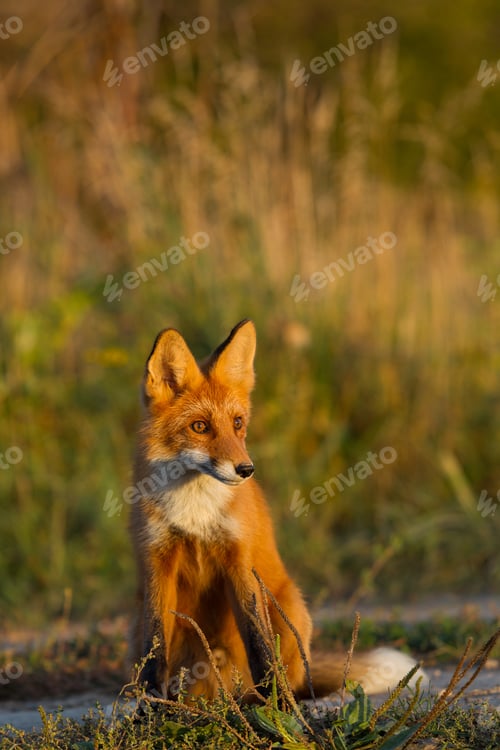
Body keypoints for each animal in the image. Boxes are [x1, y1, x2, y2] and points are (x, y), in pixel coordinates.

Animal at [129, 319, 426, 701]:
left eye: (237, 423)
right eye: (199, 427)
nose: (246, 470)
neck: (194, 510)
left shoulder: (239, 558)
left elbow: (258, 640)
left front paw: (277, 705)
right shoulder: (157, 559)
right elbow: (154, 648)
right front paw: (150, 703)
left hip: (291, 607)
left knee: (294, 678)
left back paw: (268, 697)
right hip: (136, 624)